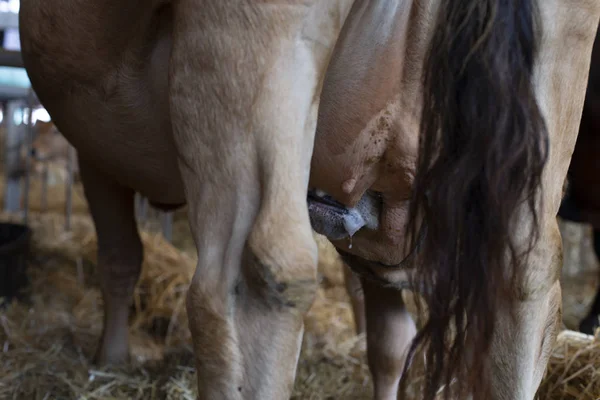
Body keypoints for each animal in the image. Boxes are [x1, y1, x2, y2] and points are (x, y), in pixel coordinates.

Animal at [17, 0, 600, 400]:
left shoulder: (92, 152)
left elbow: (120, 258)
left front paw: (111, 358)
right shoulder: (377, 220)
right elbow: (389, 339)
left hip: (249, 48)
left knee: (250, 281)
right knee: (526, 280)